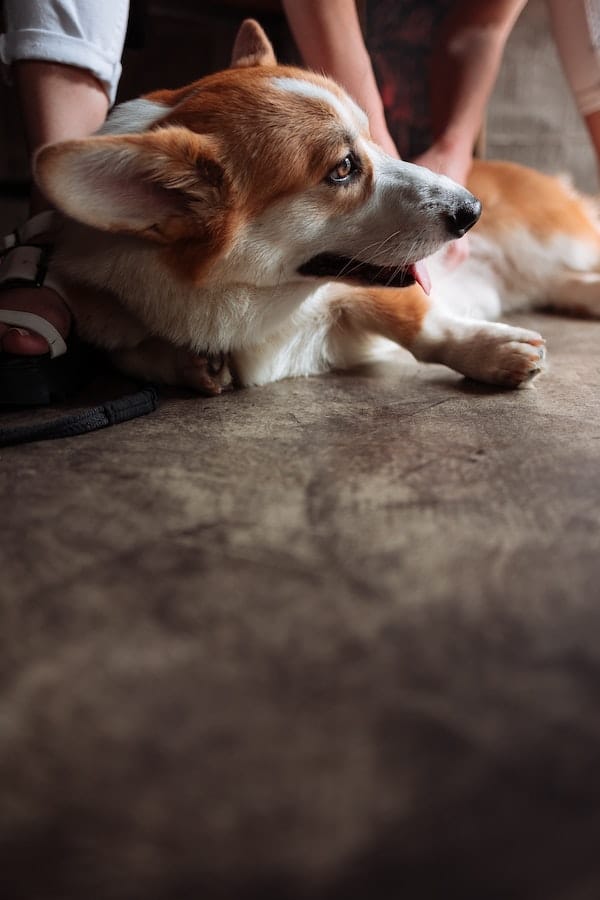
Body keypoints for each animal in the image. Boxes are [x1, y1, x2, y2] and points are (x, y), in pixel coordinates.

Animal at [31, 18, 600, 394]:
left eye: (374, 140)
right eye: (343, 168)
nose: (472, 211)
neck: (255, 305)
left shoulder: (373, 291)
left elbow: (424, 327)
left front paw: (497, 353)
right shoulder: (108, 318)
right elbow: (128, 355)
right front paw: (190, 366)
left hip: (560, 239)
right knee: (568, 284)